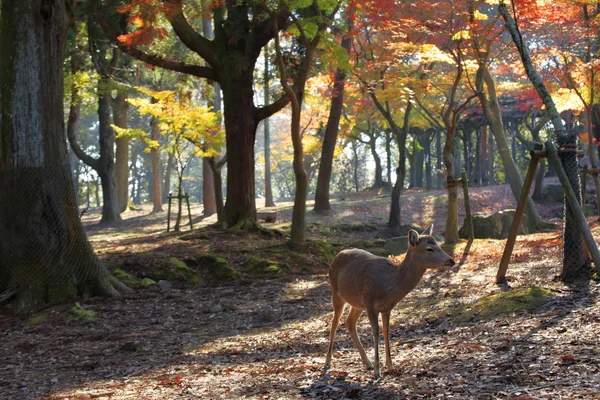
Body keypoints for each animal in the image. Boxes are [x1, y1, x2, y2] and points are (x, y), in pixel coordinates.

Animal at [324, 223, 454, 380]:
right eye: (429, 248)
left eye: (438, 244)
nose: (451, 260)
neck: (388, 287)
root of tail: (336, 255)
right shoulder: (370, 302)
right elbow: (376, 332)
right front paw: (377, 371)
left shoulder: (387, 308)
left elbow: (386, 331)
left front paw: (390, 366)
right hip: (336, 292)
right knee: (334, 322)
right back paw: (327, 363)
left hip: (357, 302)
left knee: (349, 321)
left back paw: (366, 362)